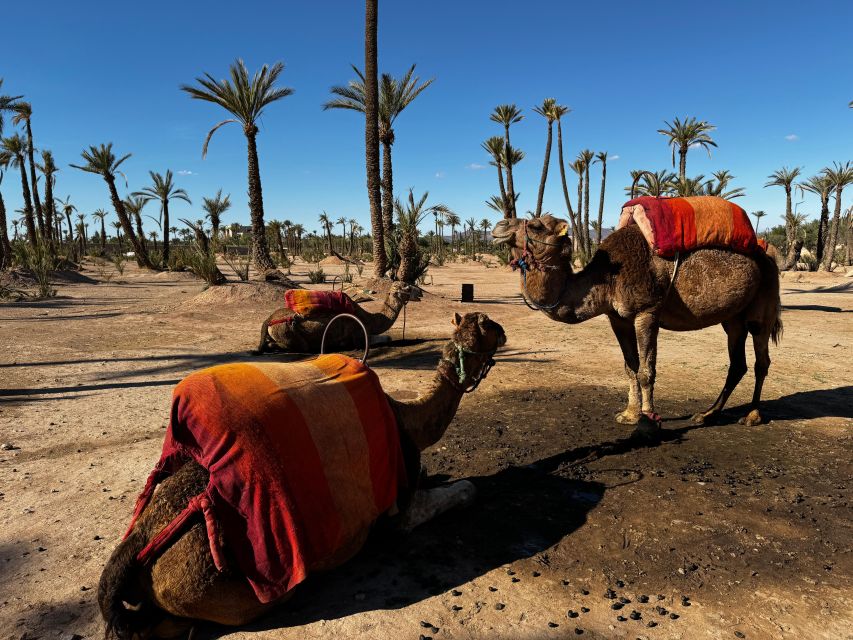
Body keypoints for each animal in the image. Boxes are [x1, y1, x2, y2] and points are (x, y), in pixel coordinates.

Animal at [98, 312, 506, 636]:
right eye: (488, 325)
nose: (503, 332)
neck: (408, 420)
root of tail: (141, 536)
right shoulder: (400, 510)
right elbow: (463, 491)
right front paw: (465, 488)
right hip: (226, 588)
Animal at [253, 282, 412, 356]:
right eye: (405, 287)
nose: (413, 289)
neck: (369, 320)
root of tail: (269, 320)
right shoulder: (357, 336)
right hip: (286, 332)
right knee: (299, 346)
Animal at [492, 210, 780, 436]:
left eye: (536, 225)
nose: (499, 226)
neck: (608, 276)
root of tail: (767, 255)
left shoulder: (647, 311)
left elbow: (646, 370)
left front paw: (648, 421)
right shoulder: (617, 318)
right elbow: (630, 367)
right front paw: (630, 414)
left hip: (762, 305)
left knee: (761, 360)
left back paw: (752, 416)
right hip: (733, 318)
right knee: (737, 363)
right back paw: (706, 415)